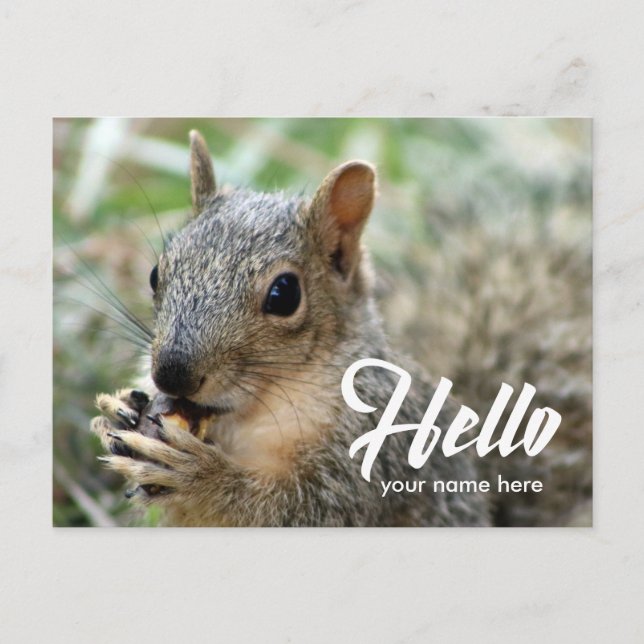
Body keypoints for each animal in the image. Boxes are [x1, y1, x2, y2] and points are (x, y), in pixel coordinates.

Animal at [90, 130, 590, 527]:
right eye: (156, 273)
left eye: (284, 294)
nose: (171, 373)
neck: (256, 410)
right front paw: (120, 409)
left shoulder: (372, 452)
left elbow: (298, 510)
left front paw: (202, 477)